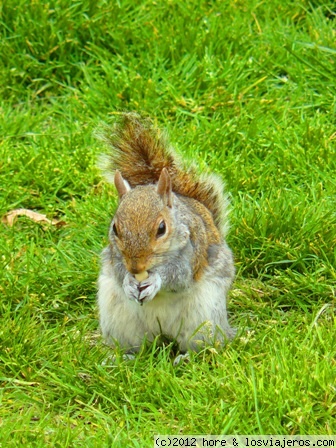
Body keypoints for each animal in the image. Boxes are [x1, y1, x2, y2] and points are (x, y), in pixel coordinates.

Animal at [96, 113, 235, 354]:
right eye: (115, 228)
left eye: (161, 228)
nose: (136, 268)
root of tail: (163, 333)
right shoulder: (114, 255)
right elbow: (119, 271)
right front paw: (128, 281)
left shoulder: (192, 252)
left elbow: (179, 277)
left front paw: (155, 280)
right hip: (119, 320)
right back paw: (122, 357)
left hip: (203, 318)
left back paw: (188, 356)